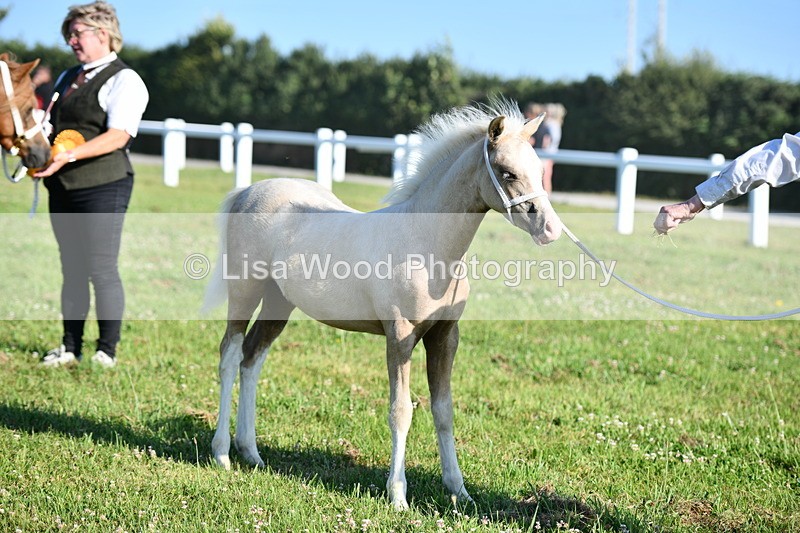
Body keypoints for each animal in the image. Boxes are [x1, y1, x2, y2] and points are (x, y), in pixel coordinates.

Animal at [204, 99, 563, 510]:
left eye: (539, 170)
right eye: (507, 173)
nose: (551, 230)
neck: (426, 246)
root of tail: (248, 190)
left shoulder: (445, 336)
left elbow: (444, 410)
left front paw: (459, 491)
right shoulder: (400, 336)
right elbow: (401, 411)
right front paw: (398, 496)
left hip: (279, 302)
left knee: (252, 359)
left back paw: (251, 452)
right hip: (245, 291)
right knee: (230, 356)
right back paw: (222, 453)